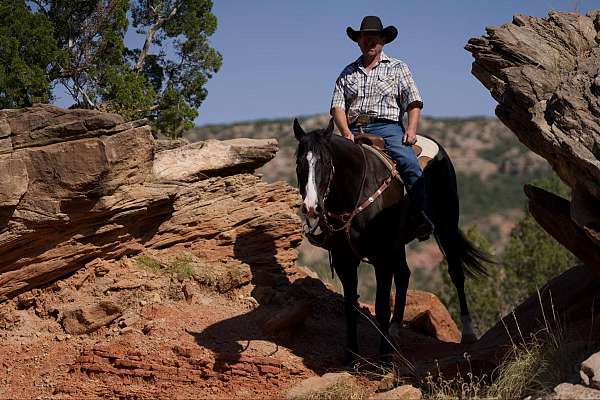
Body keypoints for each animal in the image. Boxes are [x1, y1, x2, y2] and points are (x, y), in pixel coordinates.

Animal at [292, 117, 492, 360]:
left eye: (326, 162)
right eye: (299, 163)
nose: (312, 207)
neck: (356, 190)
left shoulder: (381, 257)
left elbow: (380, 306)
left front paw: (385, 355)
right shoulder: (344, 260)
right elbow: (350, 305)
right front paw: (352, 354)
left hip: (447, 224)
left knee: (456, 272)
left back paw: (468, 333)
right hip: (398, 244)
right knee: (404, 275)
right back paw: (395, 330)